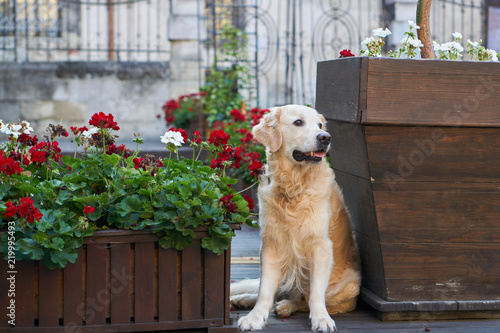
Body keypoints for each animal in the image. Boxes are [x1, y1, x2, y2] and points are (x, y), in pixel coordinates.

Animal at [230, 105, 360, 330]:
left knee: (302, 300)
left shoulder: (321, 245)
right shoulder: (271, 244)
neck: (293, 186)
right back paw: (244, 299)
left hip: (350, 285)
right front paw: (255, 317)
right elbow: (265, 290)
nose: (325, 137)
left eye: (320, 125)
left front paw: (322, 319)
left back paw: (285, 306)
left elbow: (315, 294)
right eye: (298, 122)